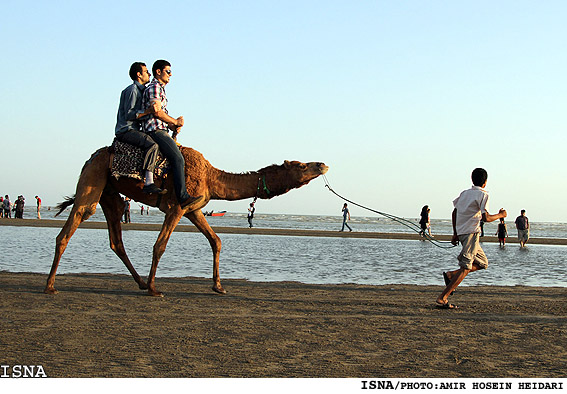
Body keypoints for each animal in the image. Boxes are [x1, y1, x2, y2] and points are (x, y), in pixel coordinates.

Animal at [45, 145, 328, 296]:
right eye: (302, 166)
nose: (323, 164)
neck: (212, 178)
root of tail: (90, 158)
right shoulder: (177, 207)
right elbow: (159, 246)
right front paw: (155, 289)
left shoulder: (194, 209)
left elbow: (216, 241)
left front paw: (218, 286)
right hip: (93, 179)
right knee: (71, 226)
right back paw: (50, 286)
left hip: (110, 193)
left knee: (116, 240)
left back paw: (139, 282)